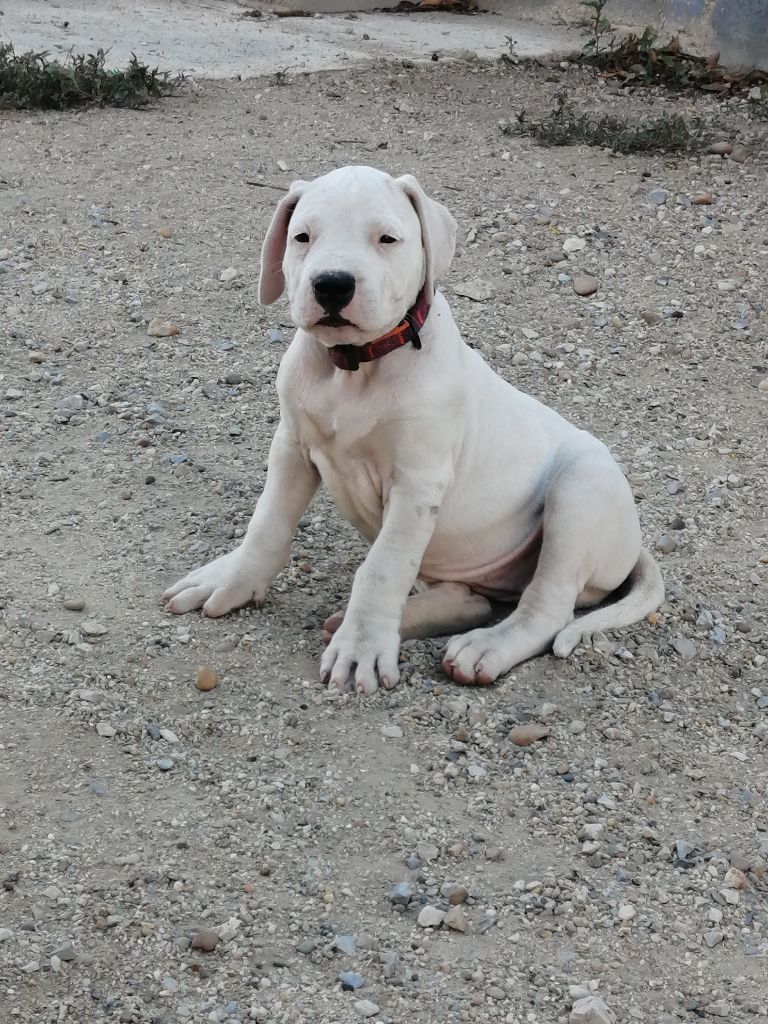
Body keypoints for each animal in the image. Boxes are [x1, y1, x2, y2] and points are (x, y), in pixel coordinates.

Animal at [164, 165, 664, 695]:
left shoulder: (417, 484)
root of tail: (634, 543)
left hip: (578, 495)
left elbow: (383, 567)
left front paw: (360, 647)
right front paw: (230, 580)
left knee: (546, 608)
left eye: (387, 238)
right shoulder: (292, 450)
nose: (332, 285)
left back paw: (483, 647)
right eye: (302, 237)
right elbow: (267, 525)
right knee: (470, 600)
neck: (356, 367)